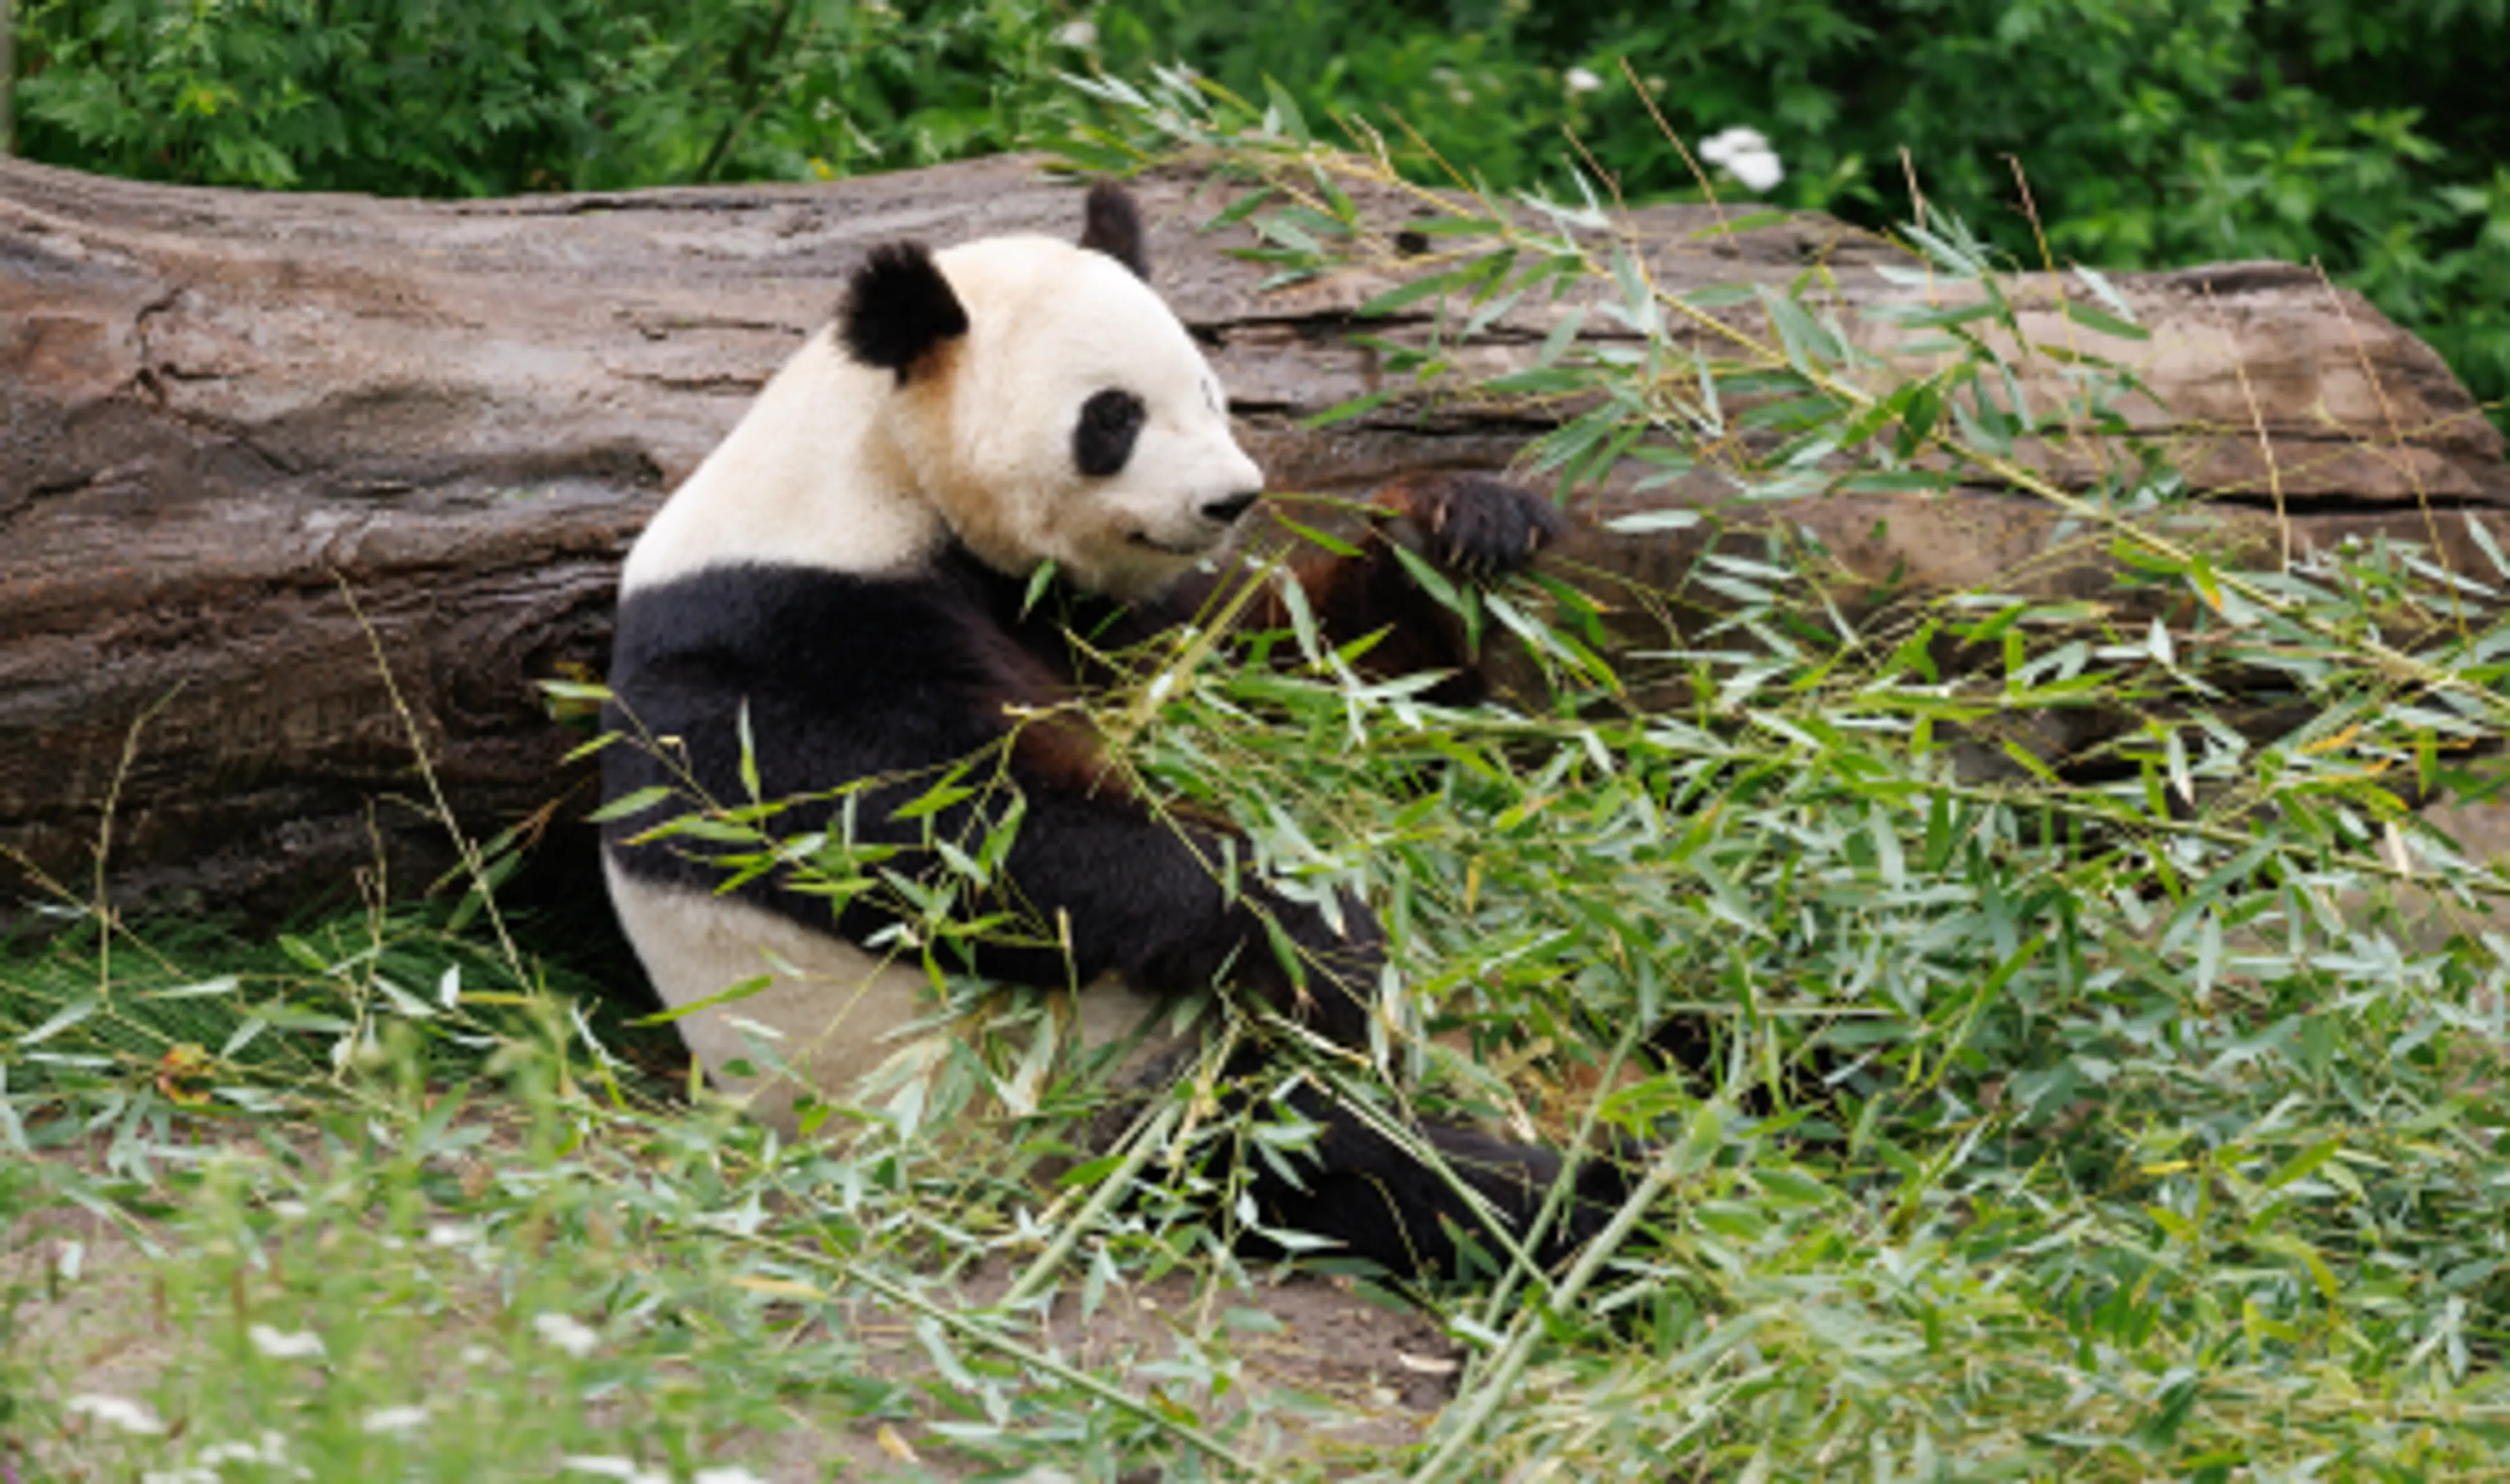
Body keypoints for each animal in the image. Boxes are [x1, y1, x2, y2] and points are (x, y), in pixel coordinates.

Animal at [600, 181, 1615, 1276]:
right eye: (1113, 416)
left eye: (1209, 390)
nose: (1233, 498)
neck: (883, 473)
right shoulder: (788, 638)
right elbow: (964, 839)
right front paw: (1323, 934)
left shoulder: (1105, 615)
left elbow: (1301, 673)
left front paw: (1459, 525)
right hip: (1085, 1094)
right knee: (1325, 1159)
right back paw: (1600, 1198)